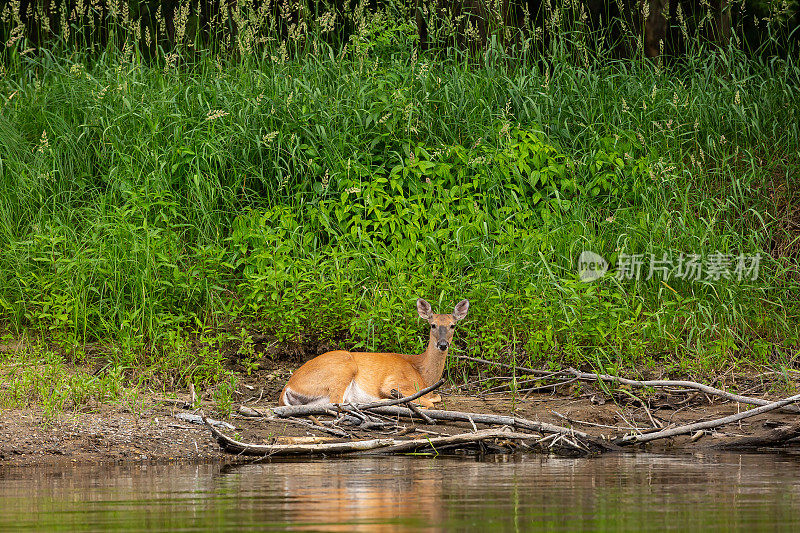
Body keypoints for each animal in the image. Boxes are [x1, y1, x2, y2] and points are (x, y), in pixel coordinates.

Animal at [280, 300, 472, 408]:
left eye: (452, 325)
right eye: (432, 325)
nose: (443, 344)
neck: (422, 373)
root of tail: (287, 386)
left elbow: (436, 397)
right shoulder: (394, 381)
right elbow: (430, 401)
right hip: (343, 368)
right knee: (337, 401)